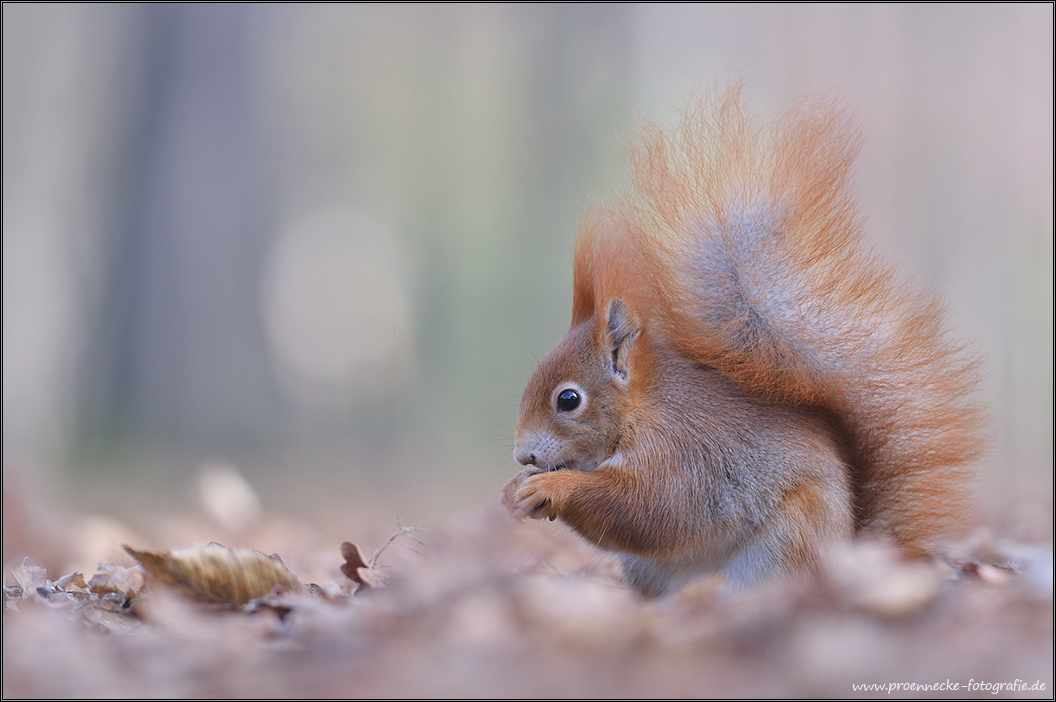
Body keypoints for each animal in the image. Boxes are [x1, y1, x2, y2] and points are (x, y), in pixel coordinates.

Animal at [498, 84, 984, 595]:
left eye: (568, 400)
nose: (522, 455)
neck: (641, 407)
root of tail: (848, 555)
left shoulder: (683, 450)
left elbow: (650, 507)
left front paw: (550, 487)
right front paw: (514, 490)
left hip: (790, 537)